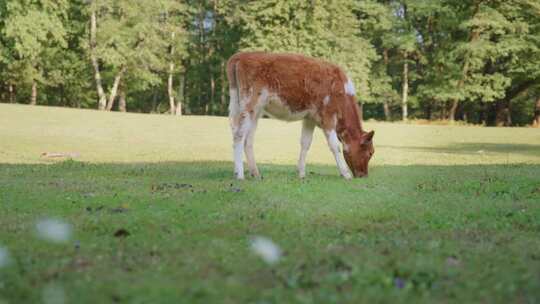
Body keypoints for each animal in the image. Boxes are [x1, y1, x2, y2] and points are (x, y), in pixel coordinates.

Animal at [226, 52, 374, 179]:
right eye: (371, 152)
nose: (364, 176)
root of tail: (241, 55)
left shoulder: (310, 118)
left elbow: (305, 143)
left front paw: (301, 173)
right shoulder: (328, 116)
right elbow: (334, 145)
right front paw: (345, 174)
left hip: (251, 110)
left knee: (247, 139)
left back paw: (255, 173)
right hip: (250, 103)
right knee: (239, 135)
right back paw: (239, 174)